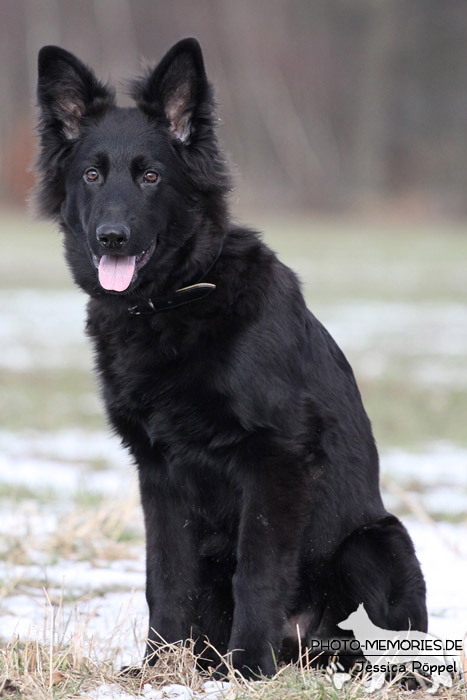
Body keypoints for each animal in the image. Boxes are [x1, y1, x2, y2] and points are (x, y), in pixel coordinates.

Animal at [33, 37, 428, 680]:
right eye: (91, 174)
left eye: (151, 176)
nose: (111, 237)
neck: (179, 297)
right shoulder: (159, 472)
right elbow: (166, 579)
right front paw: (159, 669)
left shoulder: (276, 459)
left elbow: (257, 571)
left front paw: (247, 669)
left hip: (376, 543)